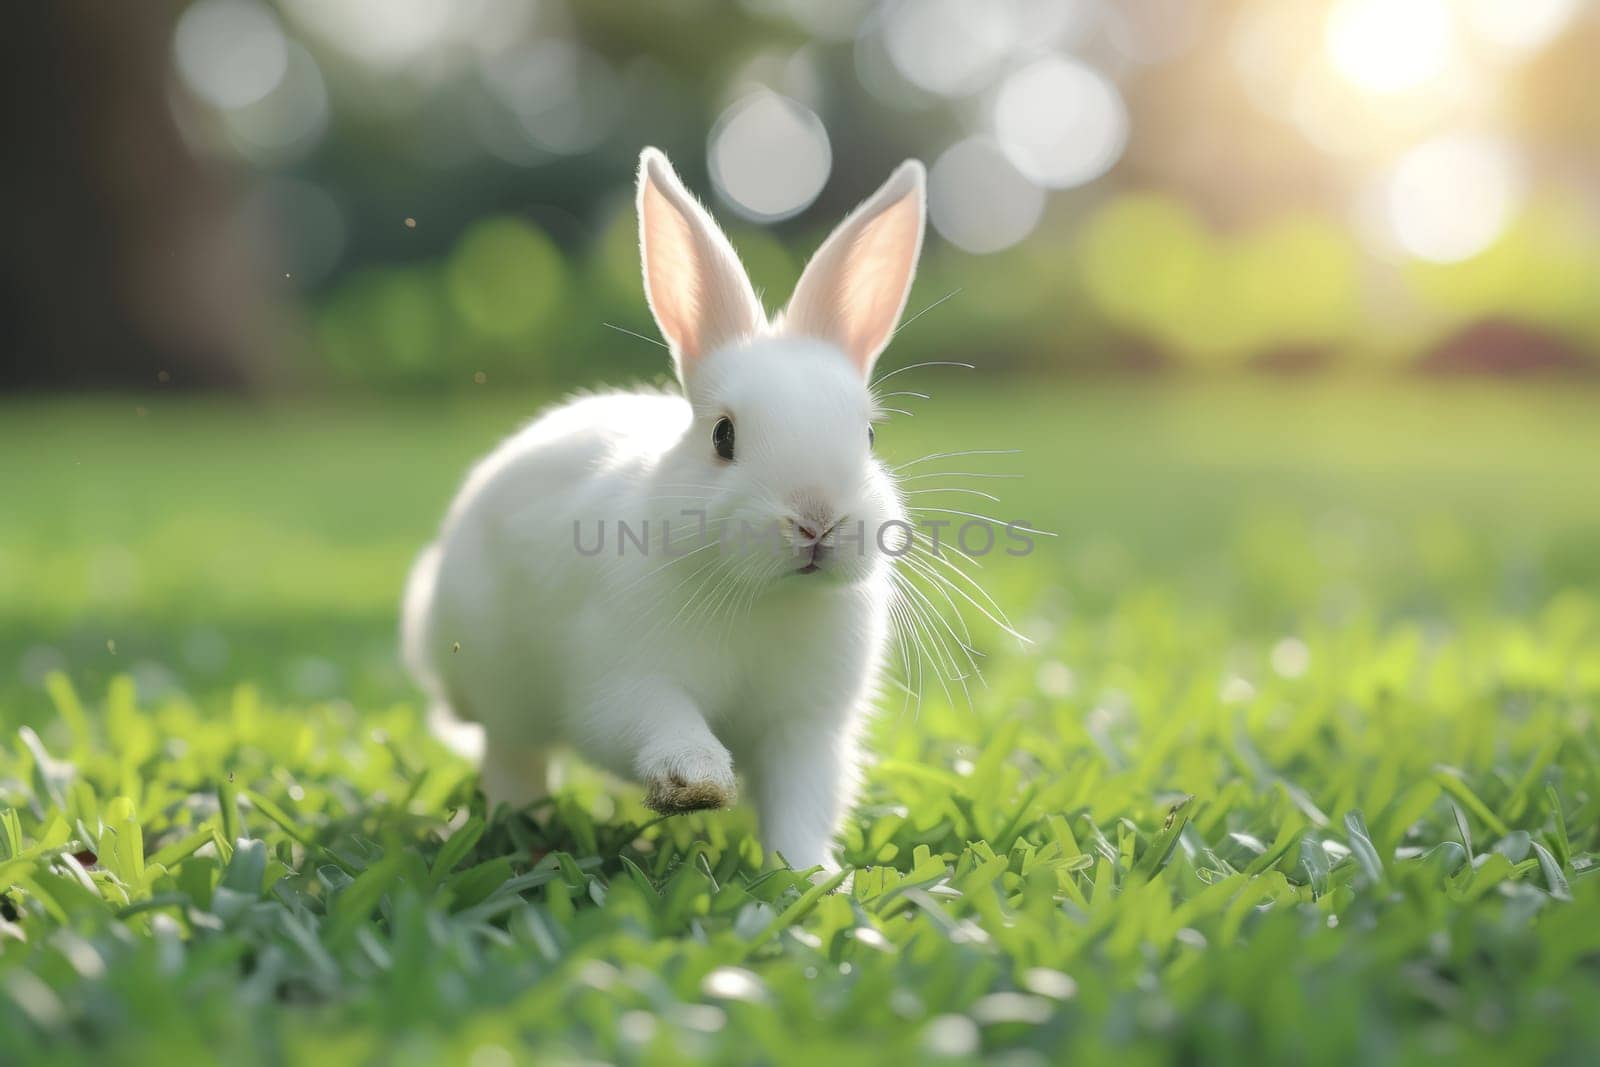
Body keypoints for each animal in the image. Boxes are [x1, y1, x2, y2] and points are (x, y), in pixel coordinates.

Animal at [400, 146, 928, 870]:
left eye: (869, 435)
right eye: (723, 436)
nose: (816, 520)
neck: (764, 597)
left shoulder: (805, 727)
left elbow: (800, 803)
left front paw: (814, 878)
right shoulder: (625, 681)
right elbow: (657, 723)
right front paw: (697, 781)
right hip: (502, 688)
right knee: (514, 759)